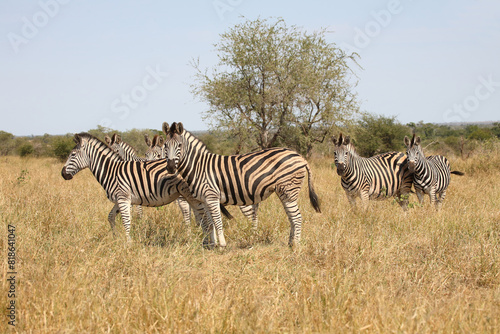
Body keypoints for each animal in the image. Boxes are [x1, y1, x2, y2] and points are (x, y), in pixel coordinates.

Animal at [60, 132, 219, 244]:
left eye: (72, 154)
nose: (63, 174)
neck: (111, 171)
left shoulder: (123, 198)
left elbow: (127, 220)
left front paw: (128, 244)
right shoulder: (122, 199)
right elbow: (111, 217)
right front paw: (115, 238)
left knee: (205, 216)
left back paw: (208, 241)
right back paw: (205, 239)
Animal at [162, 121, 322, 247]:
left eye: (180, 145)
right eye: (165, 146)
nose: (170, 167)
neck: (198, 166)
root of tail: (300, 157)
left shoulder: (212, 197)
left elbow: (217, 222)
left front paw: (222, 245)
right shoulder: (204, 200)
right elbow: (210, 223)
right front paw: (212, 245)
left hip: (289, 190)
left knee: (297, 217)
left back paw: (296, 245)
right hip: (284, 192)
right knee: (292, 217)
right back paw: (290, 243)